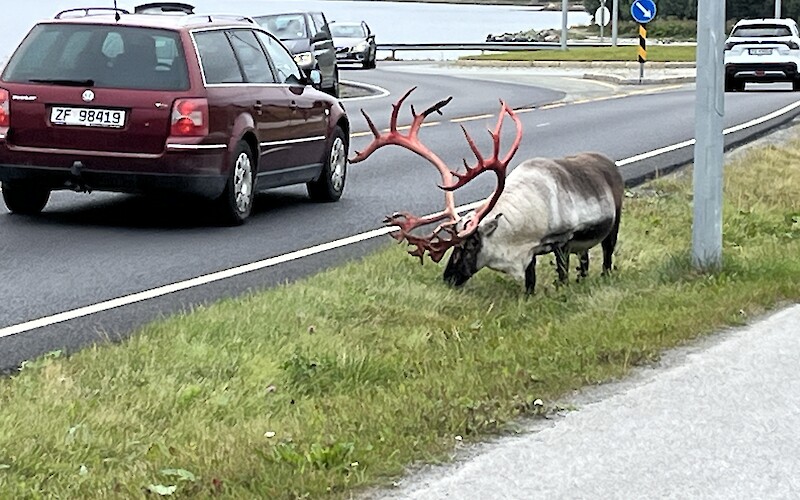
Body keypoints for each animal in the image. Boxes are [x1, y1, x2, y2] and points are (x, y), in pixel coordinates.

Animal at [349, 87, 624, 294]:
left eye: (470, 245)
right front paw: (529, 297)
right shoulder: (531, 254)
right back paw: (583, 279)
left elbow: (562, 272)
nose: (448, 278)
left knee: (607, 255)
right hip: (585, 244)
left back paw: (604, 276)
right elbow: (531, 280)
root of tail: (608, 163)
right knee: (585, 260)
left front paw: (561, 291)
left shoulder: (563, 240)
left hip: (613, 224)